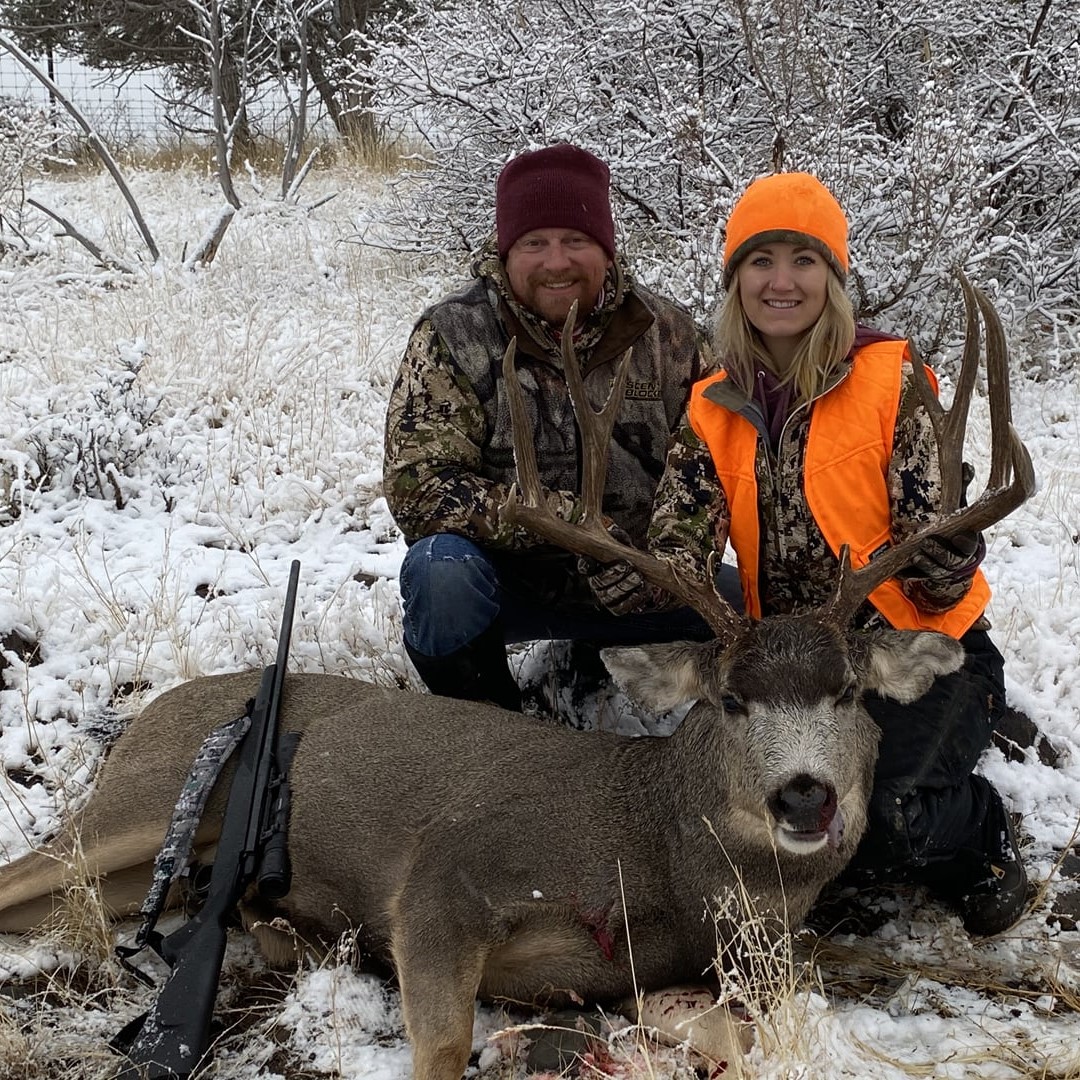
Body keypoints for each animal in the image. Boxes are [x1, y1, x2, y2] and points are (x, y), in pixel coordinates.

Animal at [0, 278, 1032, 1080]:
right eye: (730, 700)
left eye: (851, 693)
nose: (806, 795)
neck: (654, 853)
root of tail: (150, 712)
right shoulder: (440, 882)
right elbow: (440, 1047)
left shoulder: (653, 974)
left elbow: (754, 1035)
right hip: (141, 797)